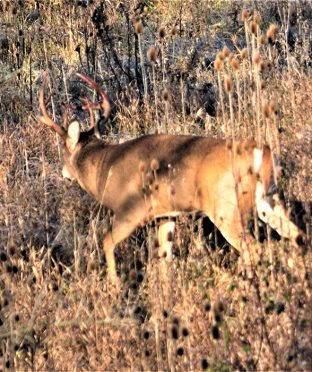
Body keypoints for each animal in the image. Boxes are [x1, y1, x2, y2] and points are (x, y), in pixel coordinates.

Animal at [38, 72, 304, 286]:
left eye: (64, 150)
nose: (63, 172)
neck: (106, 168)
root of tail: (262, 154)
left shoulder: (131, 209)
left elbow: (107, 242)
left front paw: (114, 286)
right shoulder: (165, 216)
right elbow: (164, 260)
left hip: (227, 208)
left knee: (254, 248)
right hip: (269, 200)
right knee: (296, 235)